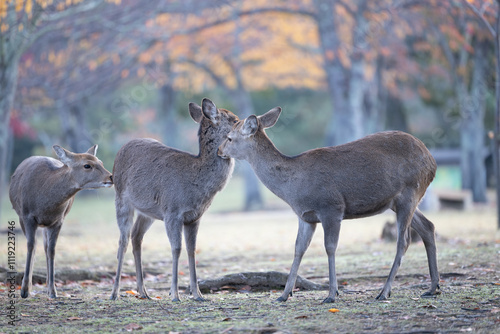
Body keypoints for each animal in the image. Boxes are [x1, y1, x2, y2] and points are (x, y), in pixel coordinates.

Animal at [9, 145, 113, 298]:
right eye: (87, 165)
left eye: (101, 162)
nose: (111, 177)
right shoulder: (26, 216)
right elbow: (31, 246)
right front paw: (24, 290)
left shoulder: (58, 220)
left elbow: (52, 250)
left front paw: (53, 291)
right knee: (35, 245)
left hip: (46, 224)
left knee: (46, 247)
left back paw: (47, 286)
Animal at [110, 98, 239, 302]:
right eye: (235, 120)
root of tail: (121, 149)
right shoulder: (172, 211)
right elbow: (176, 249)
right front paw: (175, 294)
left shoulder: (194, 217)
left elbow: (192, 250)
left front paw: (198, 294)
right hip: (121, 198)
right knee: (123, 241)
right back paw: (114, 293)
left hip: (149, 211)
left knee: (136, 236)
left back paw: (143, 292)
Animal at [219, 107, 442, 302]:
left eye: (229, 137)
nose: (219, 150)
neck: (293, 189)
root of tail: (432, 161)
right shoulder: (305, 217)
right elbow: (298, 248)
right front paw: (284, 294)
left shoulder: (332, 207)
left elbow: (330, 247)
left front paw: (332, 294)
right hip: (400, 201)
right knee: (428, 226)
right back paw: (433, 288)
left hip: (410, 191)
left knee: (403, 240)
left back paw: (384, 291)